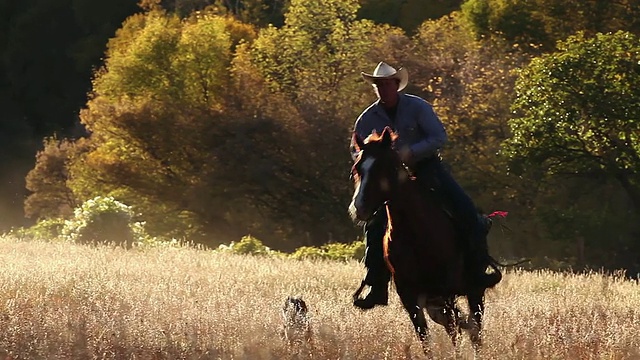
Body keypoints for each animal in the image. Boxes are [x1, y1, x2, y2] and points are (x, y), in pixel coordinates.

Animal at [350, 128, 490, 356]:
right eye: (358, 168)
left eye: (383, 167)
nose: (359, 207)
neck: (415, 232)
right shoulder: (409, 296)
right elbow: (425, 338)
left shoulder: (446, 291)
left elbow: (455, 333)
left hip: (473, 291)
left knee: (475, 330)